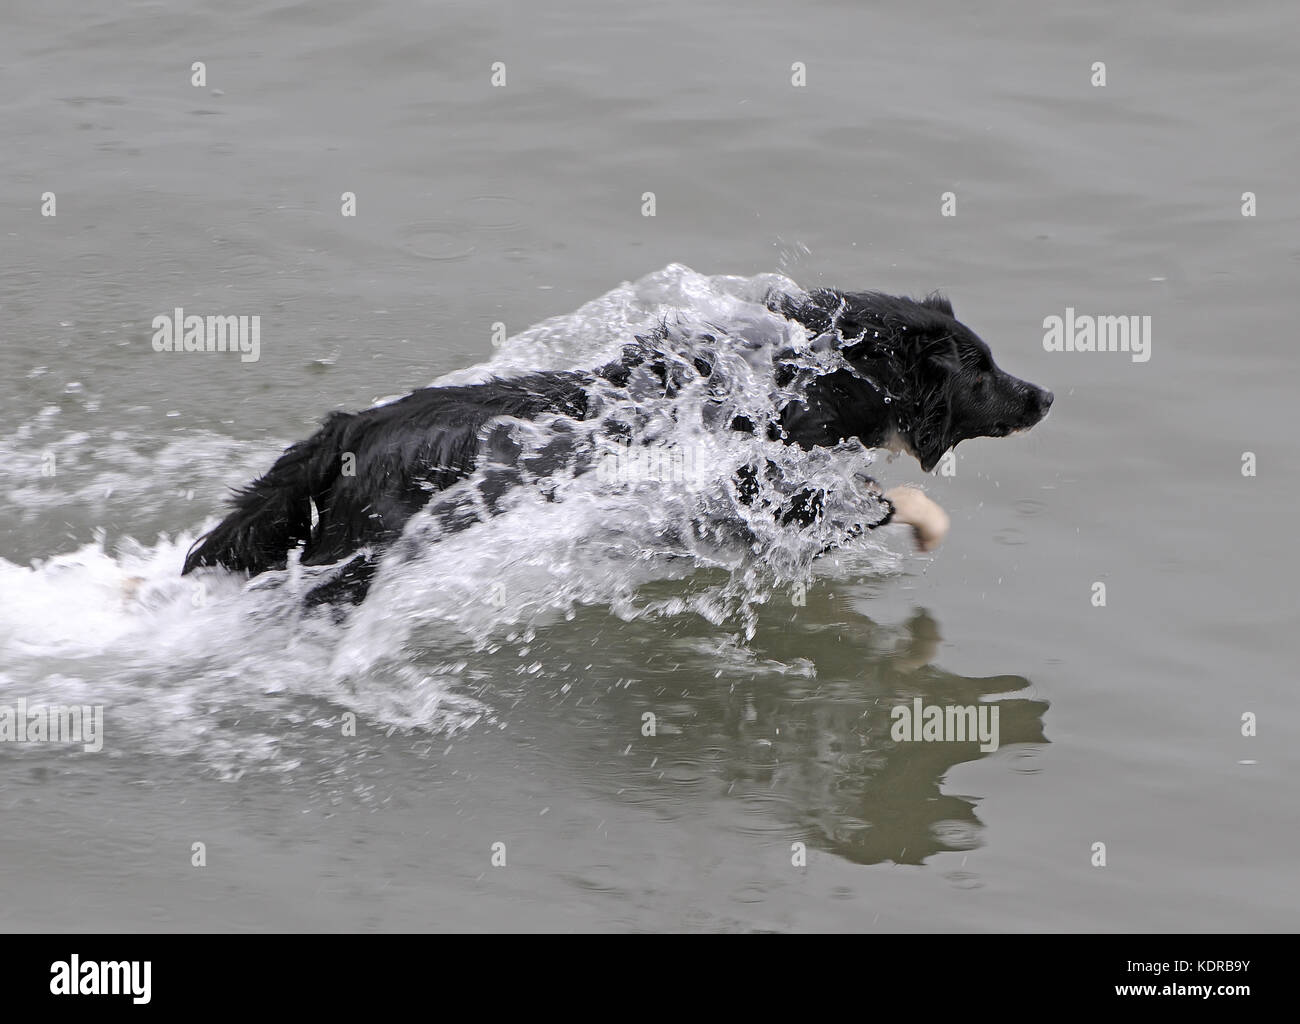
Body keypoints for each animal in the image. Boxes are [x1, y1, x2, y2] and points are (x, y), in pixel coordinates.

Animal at [183, 284, 1050, 602]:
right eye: (981, 372)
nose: (1046, 394)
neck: (801, 377)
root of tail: (347, 427)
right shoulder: (757, 488)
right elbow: (867, 501)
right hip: (353, 562)